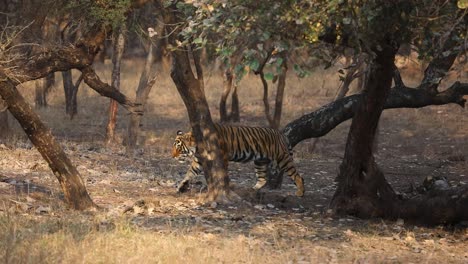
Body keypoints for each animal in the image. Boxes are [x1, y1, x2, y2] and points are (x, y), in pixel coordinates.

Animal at [174, 123, 306, 196]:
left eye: (179, 148)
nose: (173, 156)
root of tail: (281, 134)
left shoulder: (222, 155)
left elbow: (221, 171)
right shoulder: (199, 160)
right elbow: (190, 172)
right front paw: (181, 186)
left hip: (282, 158)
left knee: (297, 175)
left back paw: (300, 192)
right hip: (260, 161)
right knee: (263, 179)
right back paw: (252, 190)